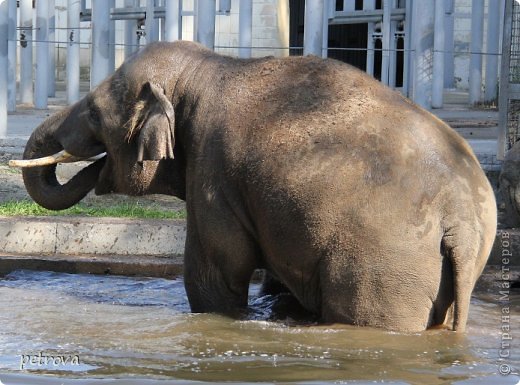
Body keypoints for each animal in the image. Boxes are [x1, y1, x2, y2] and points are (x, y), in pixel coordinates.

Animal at [14, 41, 498, 330]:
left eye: (95, 114)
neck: (207, 67)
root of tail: (463, 225)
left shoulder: (213, 170)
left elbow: (214, 273)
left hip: (383, 264)